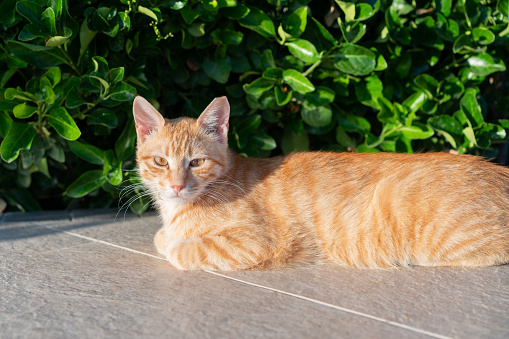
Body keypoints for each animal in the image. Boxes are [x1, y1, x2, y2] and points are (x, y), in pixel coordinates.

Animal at [132, 95, 508, 270]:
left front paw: (174, 243)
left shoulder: (257, 242)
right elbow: (163, 236)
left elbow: (180, 249)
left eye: (196, 162)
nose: (176, 186)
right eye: (161, 161)